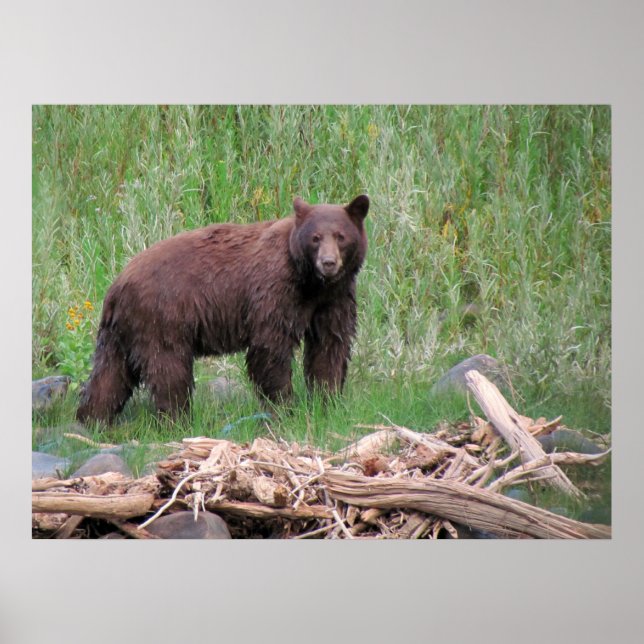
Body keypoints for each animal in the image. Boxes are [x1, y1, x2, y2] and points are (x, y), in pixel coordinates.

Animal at [76, 194, 369, 423]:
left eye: (341, 236)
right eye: (315, 238)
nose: (329, 263)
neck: (310, 283)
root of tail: (116, 285)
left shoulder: (334, 299)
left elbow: (330, 345)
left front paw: (327, 399)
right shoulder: (275, 290)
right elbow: (270, 347)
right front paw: (284, 406)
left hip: (121, 331)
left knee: (110, 375)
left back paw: (92, 419)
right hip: (161, 319)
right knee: (169, 370)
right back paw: (177, 420)